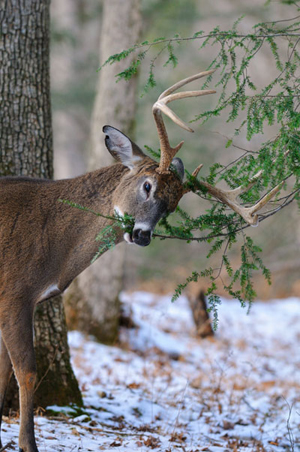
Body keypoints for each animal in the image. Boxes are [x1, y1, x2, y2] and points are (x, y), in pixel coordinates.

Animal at [0, 72, 282, 450]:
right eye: (147, 185)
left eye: (172, 207)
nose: (143, 235)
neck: (56, 240)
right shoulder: (15, 291)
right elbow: (27, 373)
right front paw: (28, 444)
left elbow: (5, 372)